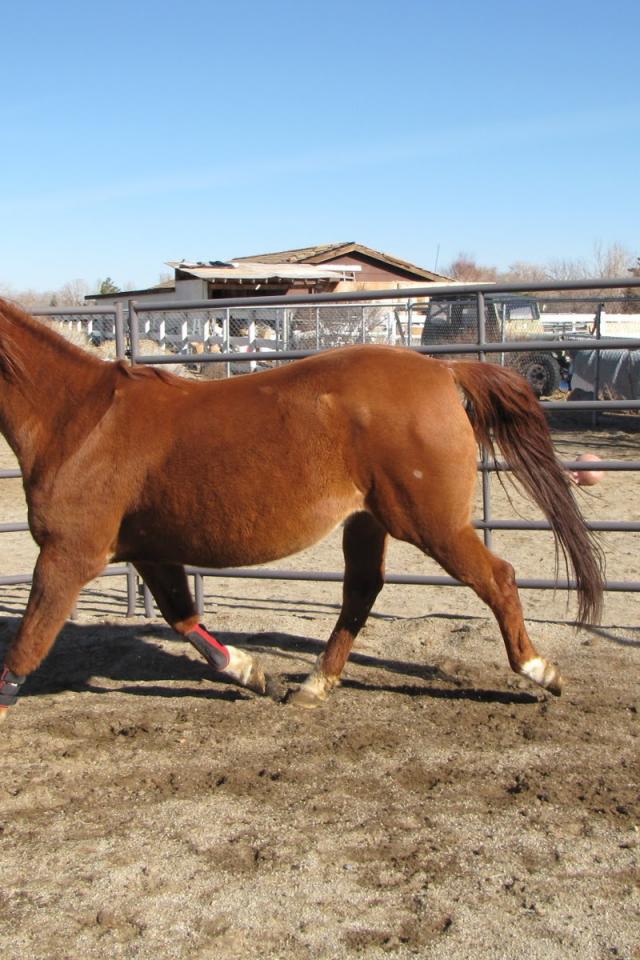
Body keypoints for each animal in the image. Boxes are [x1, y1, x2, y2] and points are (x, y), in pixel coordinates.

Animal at [0, 297, 604, 720]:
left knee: (497, 578)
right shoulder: (148, 551)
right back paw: (314, 684)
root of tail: (444, 372)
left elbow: (25, 647)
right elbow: (182, 617)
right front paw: (250, 672)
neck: (78, 419)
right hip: (369, 522)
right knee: (361, 591)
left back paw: (540, 671)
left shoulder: (68, 555)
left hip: (431, 523)